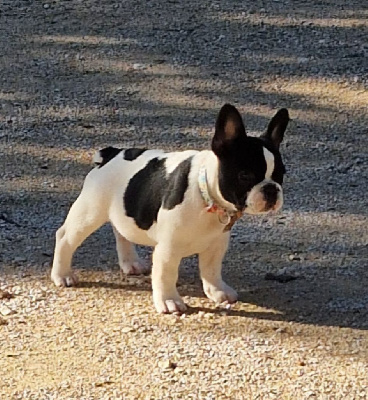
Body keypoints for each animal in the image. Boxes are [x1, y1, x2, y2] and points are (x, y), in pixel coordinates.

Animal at [50, 104, 288, 314]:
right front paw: (169, 301)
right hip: (90, 211)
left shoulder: (217, 243)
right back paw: (62, 275)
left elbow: (211, 269)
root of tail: (110, 155)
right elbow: (166, 273)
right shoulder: (169, 247)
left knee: (121, 232)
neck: (206, 195)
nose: (271, 189)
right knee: (65, 237)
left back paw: (131, 263)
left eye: (281, 175)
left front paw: (217, 291)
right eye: (245, 175)